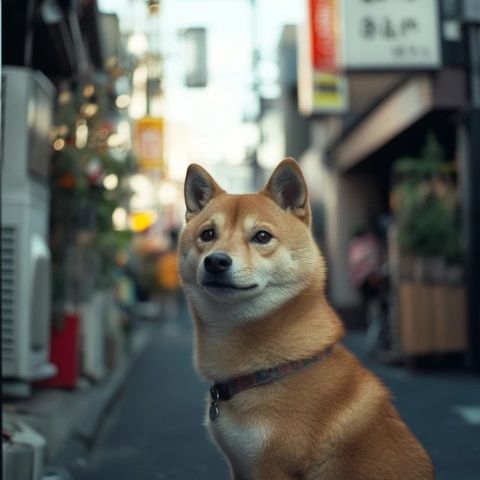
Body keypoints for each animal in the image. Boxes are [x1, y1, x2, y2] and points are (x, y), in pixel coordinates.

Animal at [178, 159, 434, 478]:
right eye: (208, 235)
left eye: (262, 236)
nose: (216, 261)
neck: (275, 368)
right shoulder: (240, 465)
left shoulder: (272, 469)